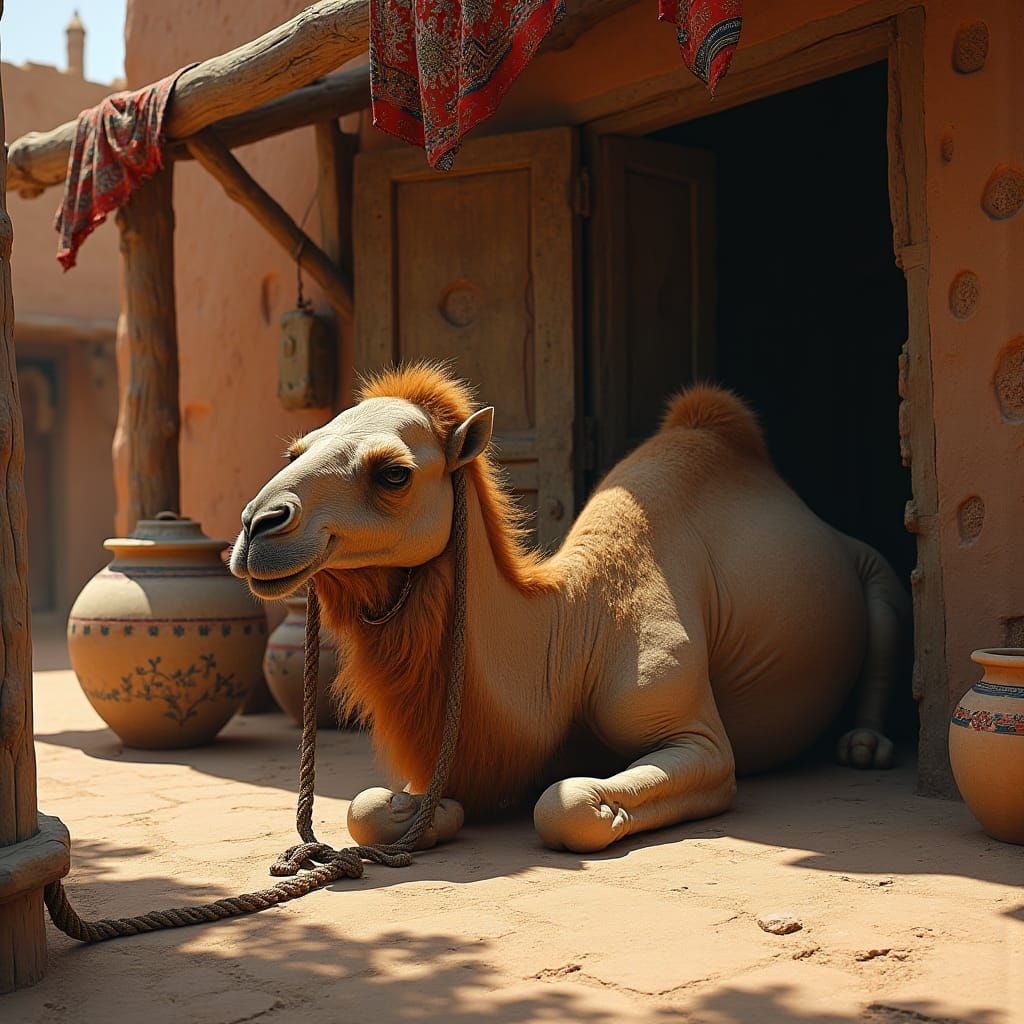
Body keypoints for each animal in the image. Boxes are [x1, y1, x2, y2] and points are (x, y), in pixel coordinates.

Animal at [230, 364, 908, 854]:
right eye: (294, 451)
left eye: (392, 473)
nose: (257, 526)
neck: (571, 633)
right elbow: (365, 809)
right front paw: (431, 810)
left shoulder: (701, 741)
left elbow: (568, 804)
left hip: (873, 569)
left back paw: (865, 745)